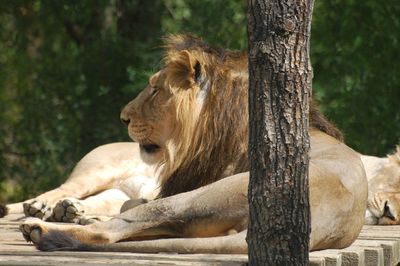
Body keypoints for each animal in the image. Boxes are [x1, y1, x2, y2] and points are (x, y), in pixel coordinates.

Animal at [1, 142, 161, 223]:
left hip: (117, 193)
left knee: (95, 203)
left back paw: (66, 211)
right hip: (97, 175)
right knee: (61, 191)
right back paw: (38, 207)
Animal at [20, 35, 368, 254]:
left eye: (155, 90)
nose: (123, 117)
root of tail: (319, 223)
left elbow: (127, 207)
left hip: (198, 198)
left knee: (115, 228)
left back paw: (40, 229)